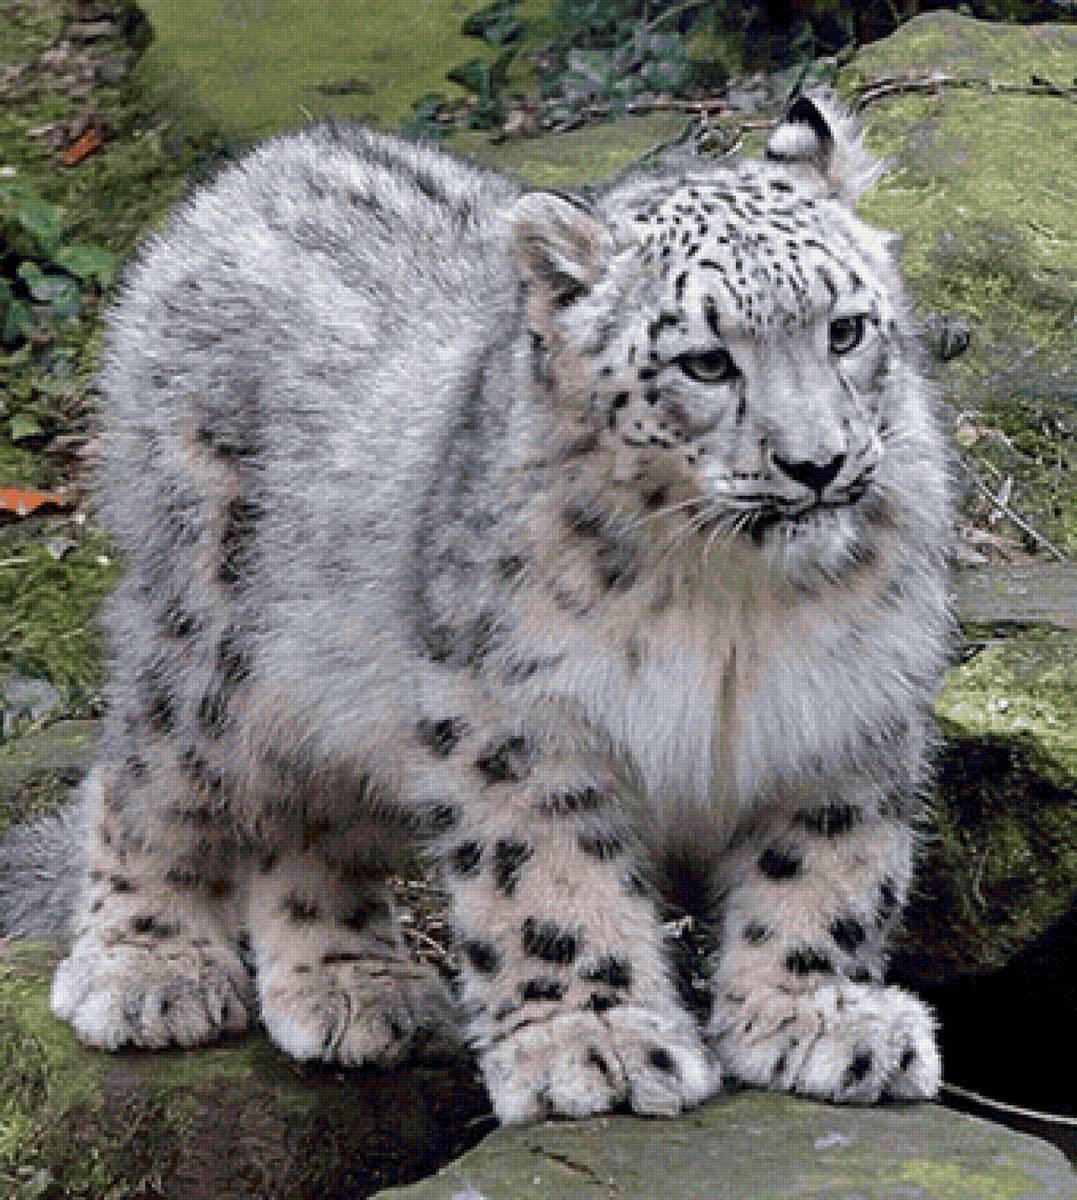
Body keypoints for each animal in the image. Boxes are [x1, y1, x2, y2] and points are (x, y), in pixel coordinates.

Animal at [0, 91, 952, 1125]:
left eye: (846, 330)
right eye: (704, 363)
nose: (816, 464)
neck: (733, 612)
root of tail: (265, 161)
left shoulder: (845, 704)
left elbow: (827, 867)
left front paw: (815, 1016)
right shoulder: (521, 716)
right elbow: (550, 879)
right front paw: (594, 1041)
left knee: (311, 830)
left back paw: (349, 985)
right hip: (211, 651)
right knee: (146, 777)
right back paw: (146, 965)